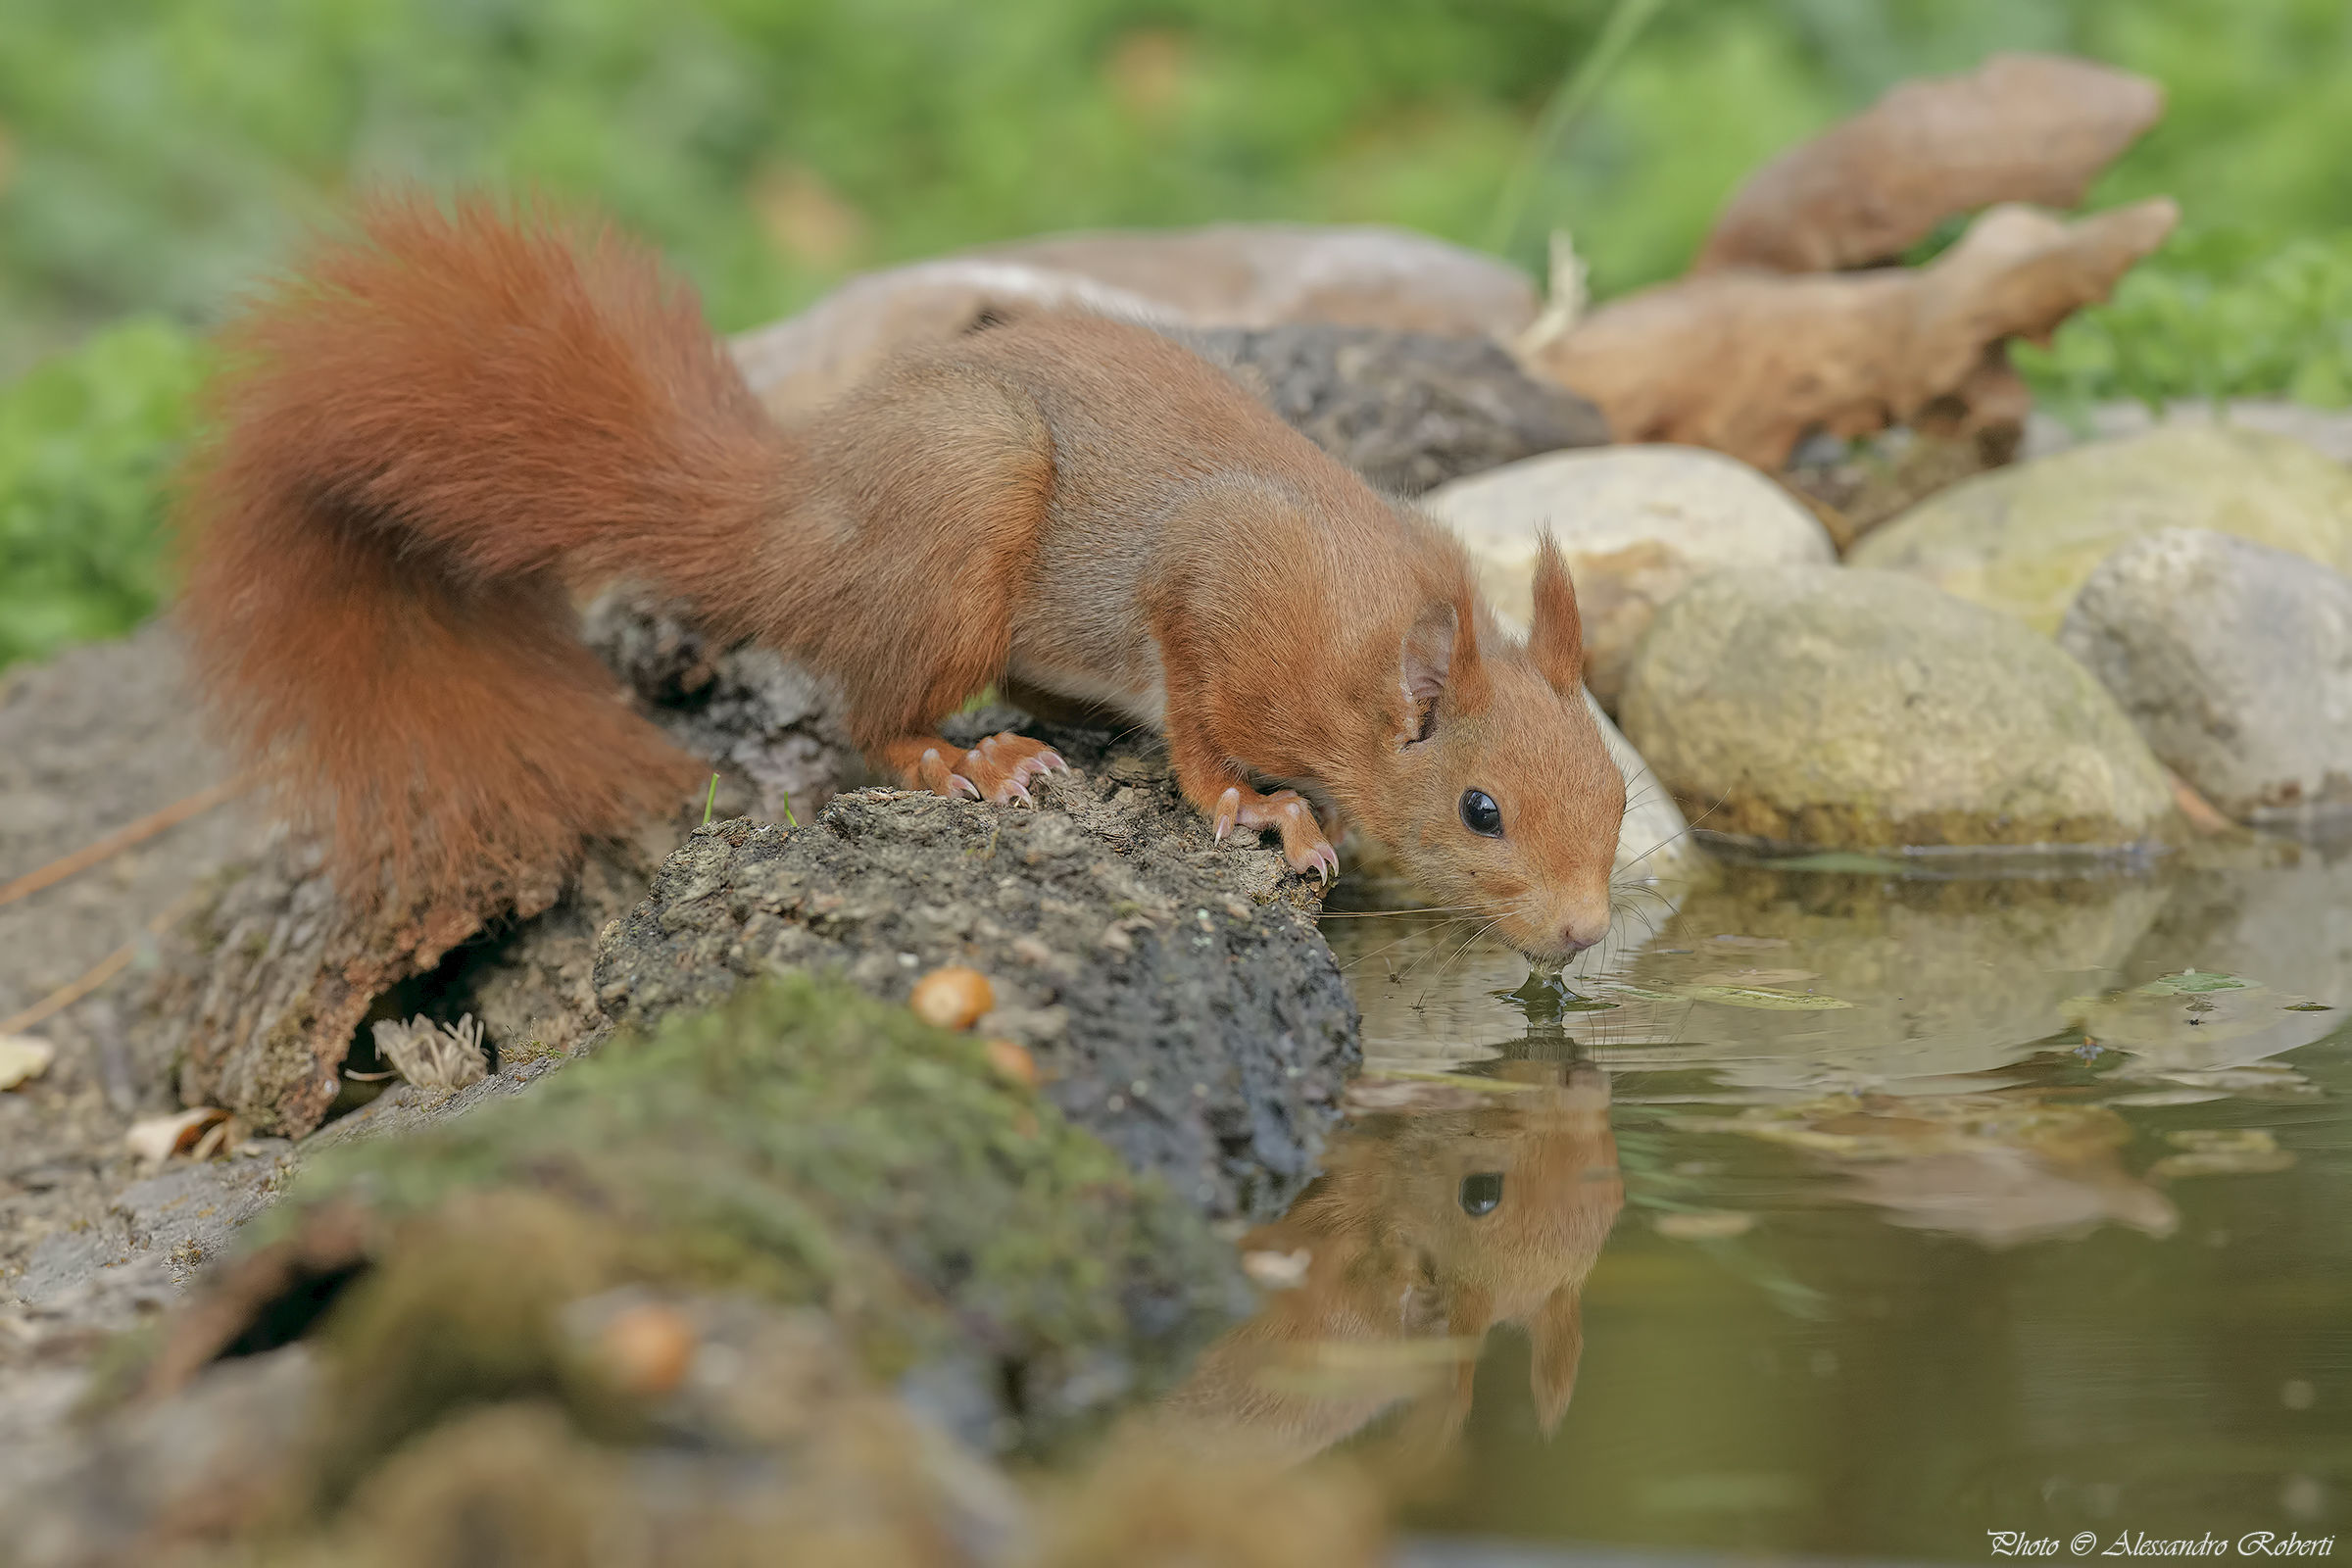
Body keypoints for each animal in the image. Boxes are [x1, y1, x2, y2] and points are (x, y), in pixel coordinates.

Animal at [183, 196, 1627, 958]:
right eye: (1483, 811)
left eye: (1617, 796)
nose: (1581, 938)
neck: (1363, 640)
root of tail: (805, 518)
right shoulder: (1213, 580)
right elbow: (1194, 711)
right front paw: (1257, 807)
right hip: (965, 517)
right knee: (866, 719)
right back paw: (963, 761)